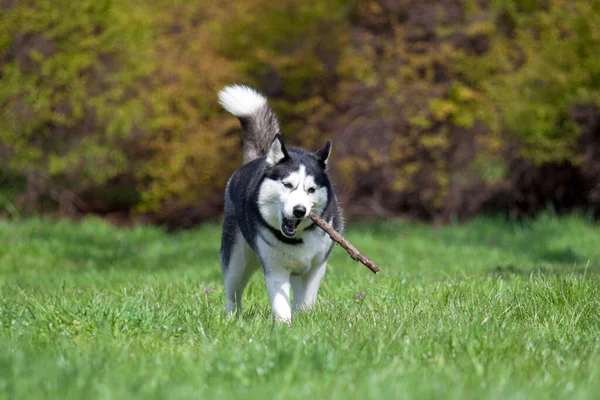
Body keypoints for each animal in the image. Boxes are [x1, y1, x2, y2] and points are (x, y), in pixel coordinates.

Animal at [218, 84, 344, 322]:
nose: (300, 210)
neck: (297, 238)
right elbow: (280, 304)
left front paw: (304, 320)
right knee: (233, 293)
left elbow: (305, 301)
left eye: (311, 190)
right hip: (236, 260)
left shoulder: (316, 267)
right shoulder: (275, 269)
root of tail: (257, 159)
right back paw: (231, 319)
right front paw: (285, 326)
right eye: (287, 185)